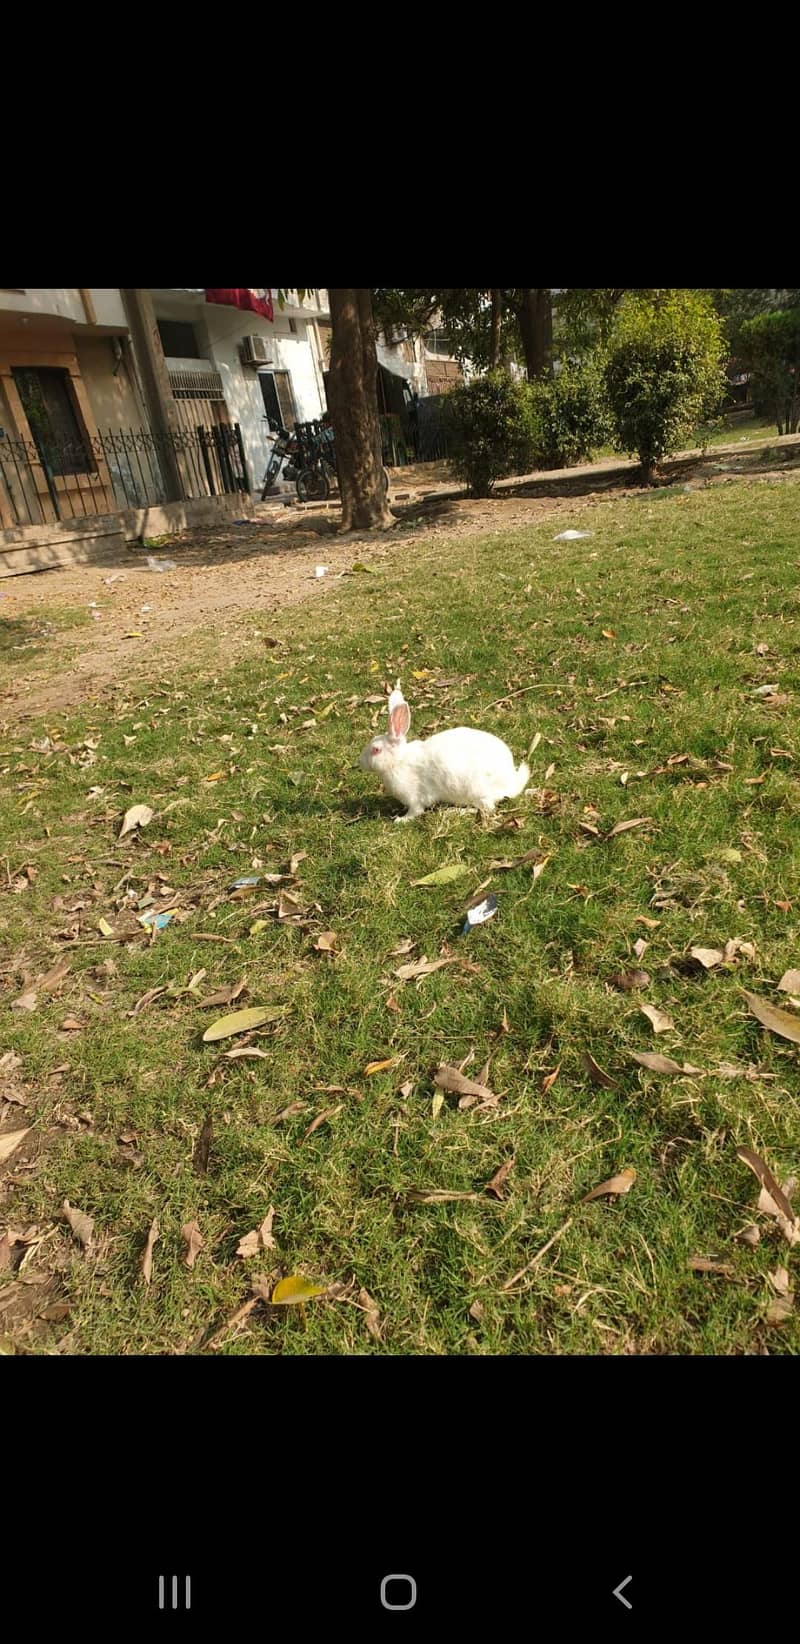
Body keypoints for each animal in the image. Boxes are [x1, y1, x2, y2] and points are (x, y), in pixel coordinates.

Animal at [359, 684, 531, 822]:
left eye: (376, 750)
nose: (360, 761)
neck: (398, 761)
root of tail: (511, 783)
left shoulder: (414, 798)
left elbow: (415, 811)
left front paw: (401, 820)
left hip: (476, 791)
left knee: (485, 808)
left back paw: (454, 812)